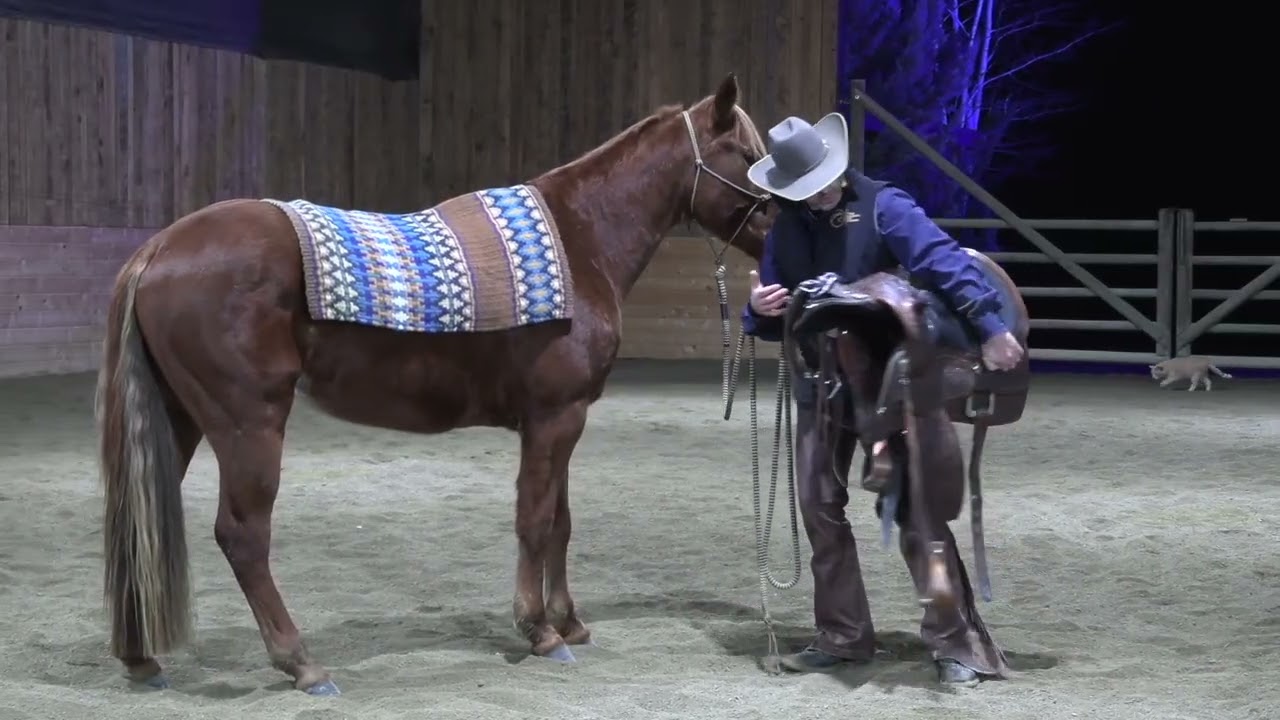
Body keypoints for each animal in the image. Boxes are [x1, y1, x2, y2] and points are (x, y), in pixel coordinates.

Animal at [94, 73, 773, 696]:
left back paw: (140, 657)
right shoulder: (555, 416)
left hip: (180, 418)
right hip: (248, 423)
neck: (579, 238)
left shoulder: (564, 418)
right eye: (747, 153)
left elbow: (560, 519)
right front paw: (540, 631)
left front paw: (570, 622)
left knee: (137, 527)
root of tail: (159, 249)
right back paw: (302, 663)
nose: (789, 226)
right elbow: (535, 519)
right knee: (242, 536)